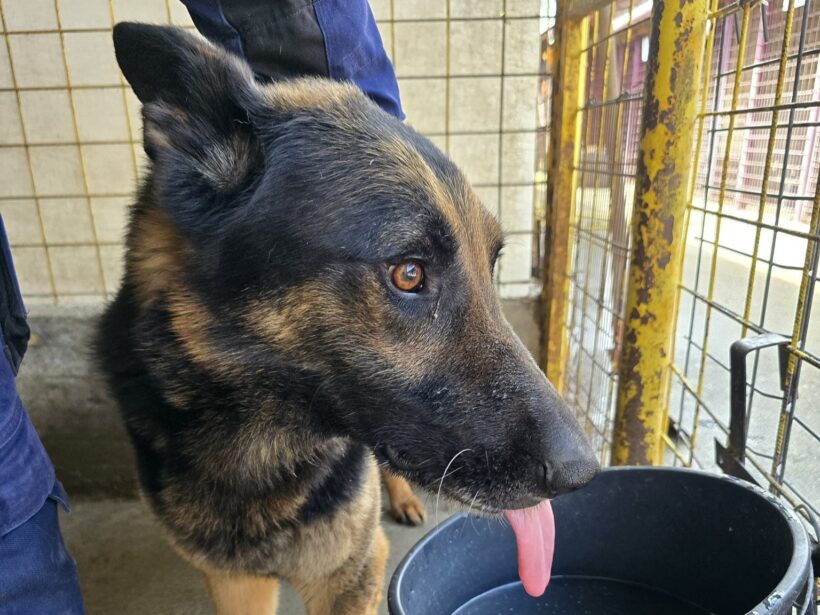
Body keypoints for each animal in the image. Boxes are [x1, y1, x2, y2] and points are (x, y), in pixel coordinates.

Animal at [96, 23, 599, 615]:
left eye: (491, 263)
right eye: (409, 272)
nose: (583, 473)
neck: (257, 442)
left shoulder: (354, 573)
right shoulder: (235, 580)